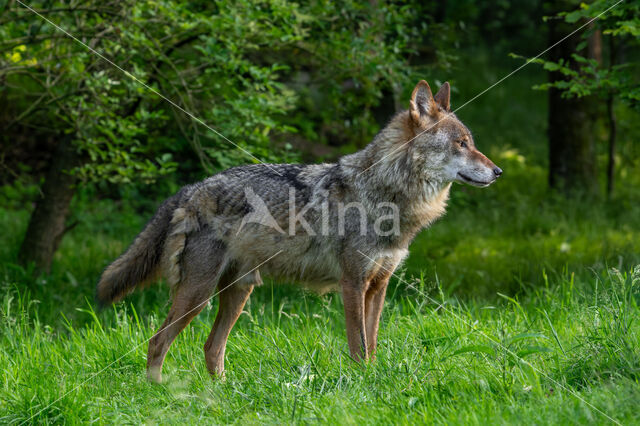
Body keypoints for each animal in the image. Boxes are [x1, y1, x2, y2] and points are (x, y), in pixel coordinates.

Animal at [97, 80, 502, 382]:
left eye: (472, 143)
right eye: (462, 144)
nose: (498, 171)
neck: (386, 196)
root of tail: (192, 188)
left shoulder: (379, 285)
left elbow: (372, 343)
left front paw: (374, 379)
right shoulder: (352, 284)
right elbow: (359, 346)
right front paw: (363, 384)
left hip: (237, 294)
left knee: (211, 348)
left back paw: (223, 395)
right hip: (198, 294)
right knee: (157, 342)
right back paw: (159, 393)